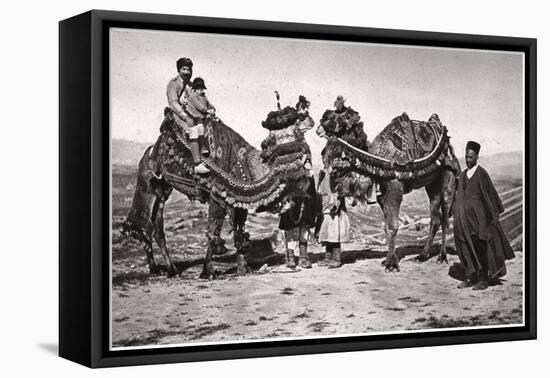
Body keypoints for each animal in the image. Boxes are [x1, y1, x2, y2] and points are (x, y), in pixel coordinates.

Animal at [320, 110, 462, 272]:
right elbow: (387, 227)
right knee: (435, 217)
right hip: (431, 184)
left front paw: (391, 264)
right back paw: (421, 256)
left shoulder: (395, 187)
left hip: (448, 174)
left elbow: (393, 225)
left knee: (445, 216)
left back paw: (441, 257)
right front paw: (388, 260)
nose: (319, 129)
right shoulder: (382, 194)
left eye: (338, 120)